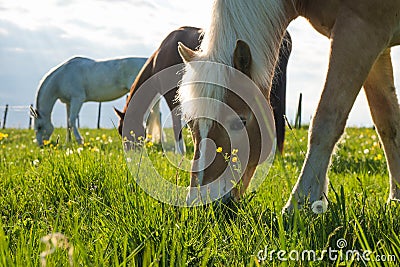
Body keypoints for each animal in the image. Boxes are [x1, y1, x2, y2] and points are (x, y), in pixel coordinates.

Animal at [180, 0, 400, 209]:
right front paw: (395, 199)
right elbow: (387, 124)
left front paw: (302, 202)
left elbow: (326, 121)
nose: (201, 201)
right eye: (190, 123)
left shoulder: (359, 32)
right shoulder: (377, 47)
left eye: (238, 122)